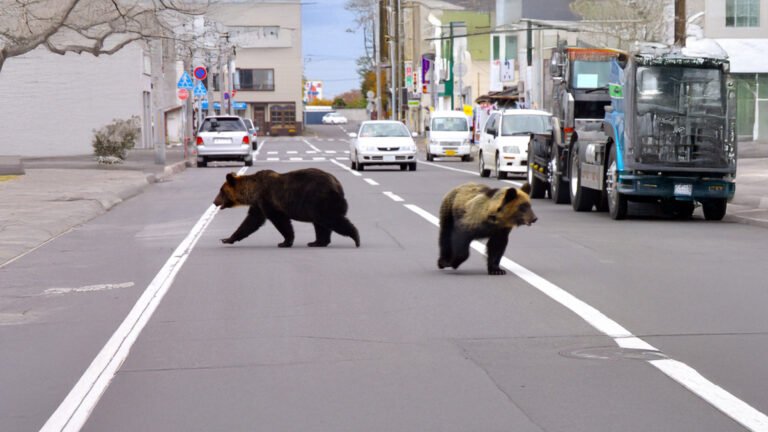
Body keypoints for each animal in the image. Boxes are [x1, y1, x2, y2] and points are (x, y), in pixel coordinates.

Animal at [213, 168, 360, 248]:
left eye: (221, 191)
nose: (214, 202)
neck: (253, 191)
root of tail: (338, 185)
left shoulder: (268, 200)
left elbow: (280, 221)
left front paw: (285, 242)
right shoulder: (258, 204)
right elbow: (251, 222)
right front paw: (227, 239)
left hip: (320, 200)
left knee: (330, 219)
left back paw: (356, 237)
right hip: (318, 205)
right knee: (320, 224)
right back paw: (317, 242)